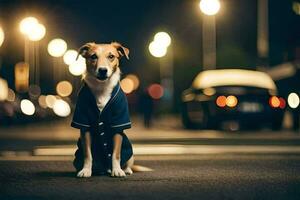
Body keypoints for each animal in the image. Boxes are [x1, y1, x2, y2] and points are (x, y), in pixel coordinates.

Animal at [71, 42, 151, 178]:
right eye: (93, 56)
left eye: (111, 56)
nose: (103, 70)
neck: (102, 87)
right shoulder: (84, 125)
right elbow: (88, 154)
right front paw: (86, 170)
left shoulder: (118, 125)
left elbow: (116, 154)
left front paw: (117, 170)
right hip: (77, 156)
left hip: (130, 152)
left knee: (128, 163)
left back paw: (126, 170)